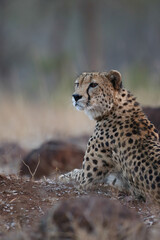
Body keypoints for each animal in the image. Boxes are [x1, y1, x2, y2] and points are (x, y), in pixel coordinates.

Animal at [59, 70, 160, 202]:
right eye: (77, 84)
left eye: (93, 85)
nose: (75, 96)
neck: (112, 108)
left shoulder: (86, 179)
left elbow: (73, 173)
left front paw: (62, 176)